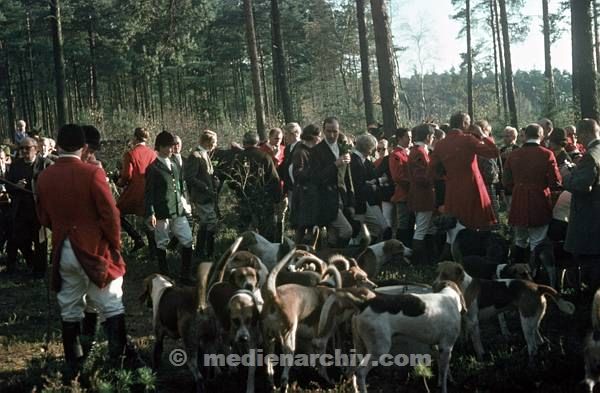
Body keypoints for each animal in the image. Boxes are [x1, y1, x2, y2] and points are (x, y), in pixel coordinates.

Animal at [434, 260, 576, 362]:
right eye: (437, 272)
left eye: (445, 274)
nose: (434, 285)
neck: (463, 286)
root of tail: (537, 287)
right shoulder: (464, 320)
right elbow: (464, 338)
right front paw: (464, 349)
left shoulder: (473, 322)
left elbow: (476, 342)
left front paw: (480, 357)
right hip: (532, 320)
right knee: (539, 341)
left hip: (526, 322)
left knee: (533, 347)